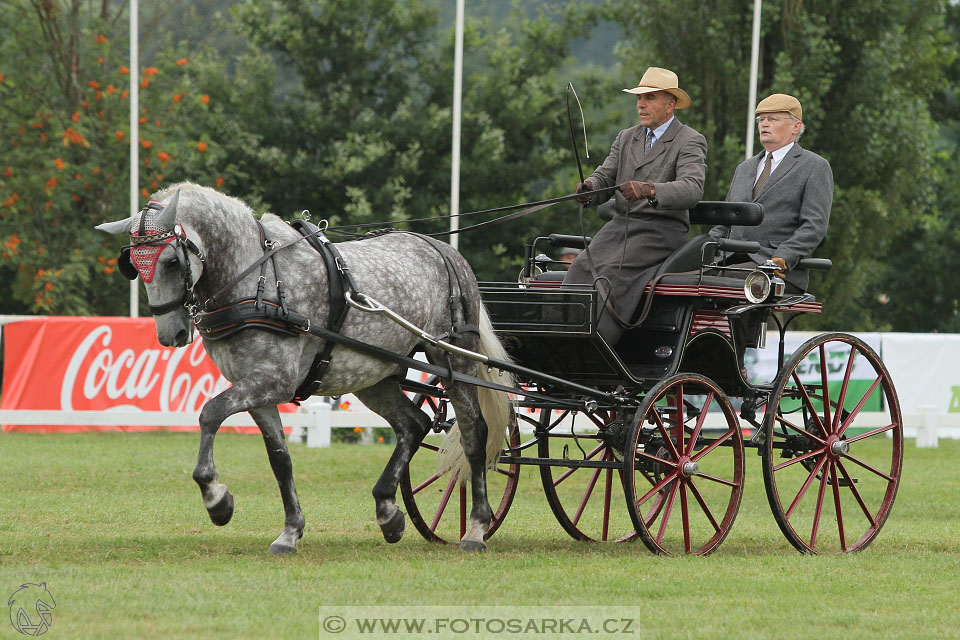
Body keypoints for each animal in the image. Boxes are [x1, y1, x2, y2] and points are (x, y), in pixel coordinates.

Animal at [98, 182, 512, 552]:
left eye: (170, 261)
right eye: (134, 266)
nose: (171, 334)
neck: (256, 279)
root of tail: (443, 249)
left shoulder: (272, 381)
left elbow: (210, 413)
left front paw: (216, 499)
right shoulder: (255, 387)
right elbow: (280, 459)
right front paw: (290, 532)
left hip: (454, 358)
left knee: (474, 431)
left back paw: (476, 528)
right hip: (373, 375)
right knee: (415, 424)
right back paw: (388, 512)